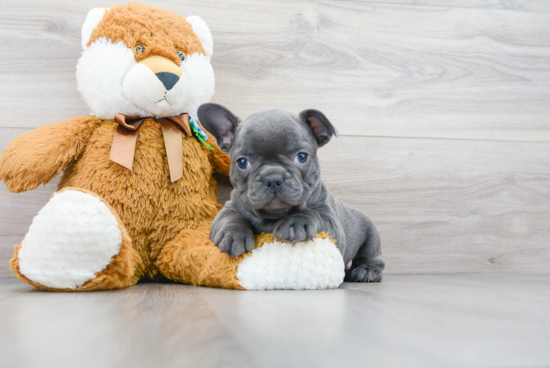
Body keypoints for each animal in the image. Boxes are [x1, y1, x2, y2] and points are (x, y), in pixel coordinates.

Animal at [201, 103, 386, 282]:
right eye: (242, 162)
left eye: (302, 156)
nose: (273, 177)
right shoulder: (229, 208)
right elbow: (230, 218)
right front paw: (233, 235)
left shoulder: (332, 225)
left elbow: (313, 214)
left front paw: (296, 223)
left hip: (371, 235)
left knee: (372, 257)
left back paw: (367, 271)